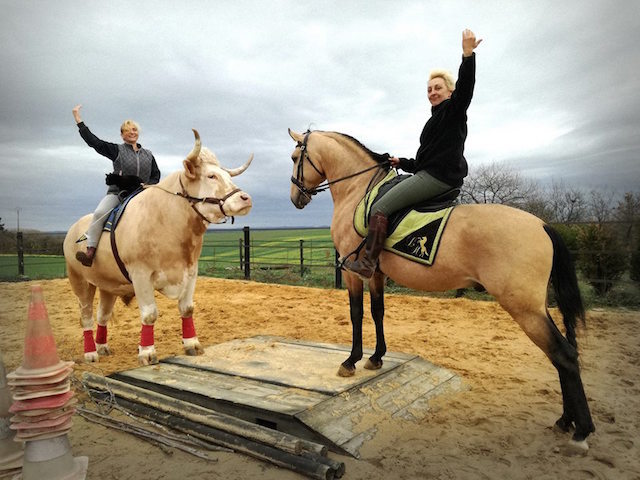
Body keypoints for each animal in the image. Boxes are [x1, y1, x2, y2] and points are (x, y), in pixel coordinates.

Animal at [288, 127, 592, 450]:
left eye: (295, 158)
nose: (295, 197)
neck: (358, 191)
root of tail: (542, 225)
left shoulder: (352, 272)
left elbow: (356, 314)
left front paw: (351, 360)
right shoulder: (377, 274)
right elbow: (378, 312)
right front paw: (376, 357)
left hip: (525, 309)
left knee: (563, 355)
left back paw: (582, 430)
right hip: (538, 307)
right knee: (563, 354)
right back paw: (566, 421)